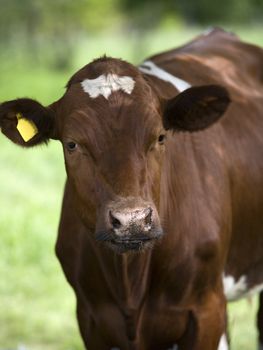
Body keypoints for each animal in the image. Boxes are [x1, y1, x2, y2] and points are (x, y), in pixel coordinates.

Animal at [0, 28, 263, 350]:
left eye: (161, 136)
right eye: (72, 144)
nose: (132, 221)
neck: (130, 284)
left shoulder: (205, 310)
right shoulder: (90, 318)